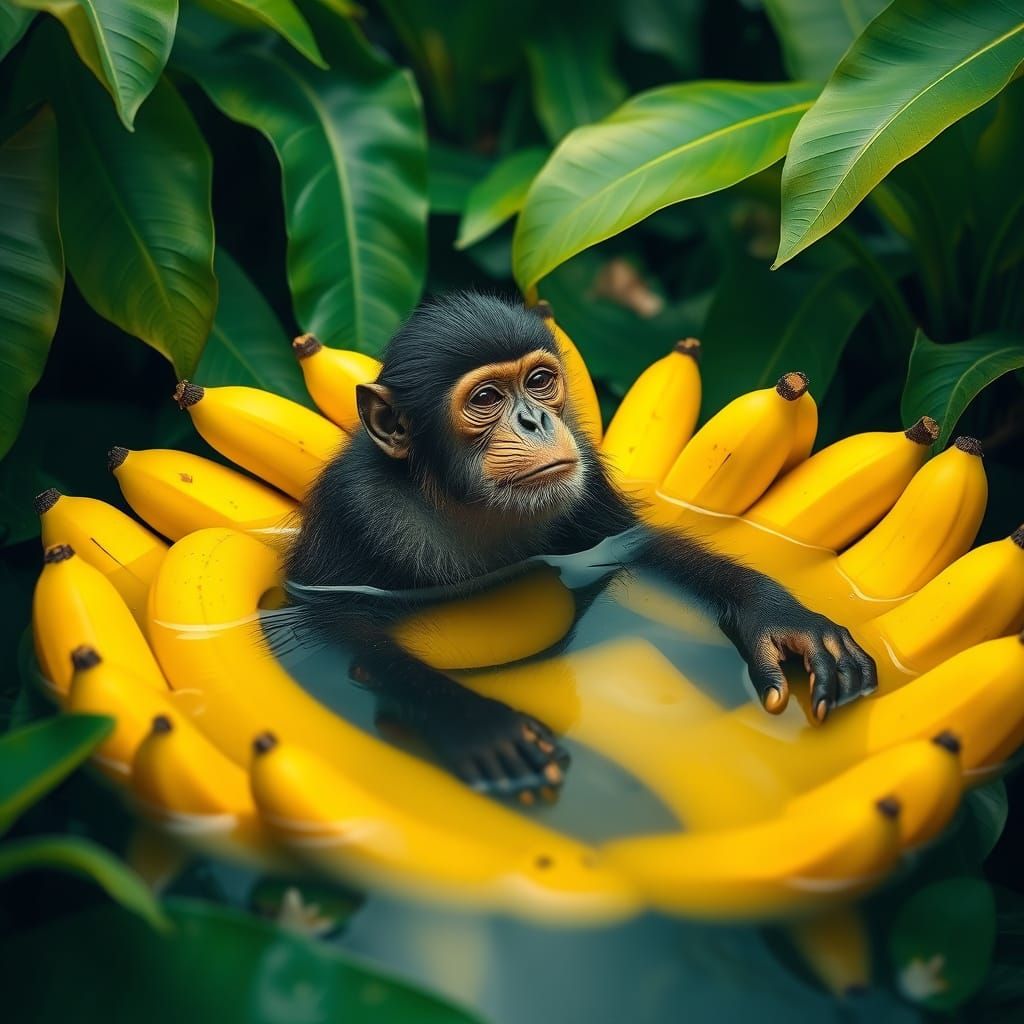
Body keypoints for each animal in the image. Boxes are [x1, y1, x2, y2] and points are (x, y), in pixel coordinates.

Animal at [282, 292, 877, 801]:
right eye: (486, 398)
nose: (534, 419)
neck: (456, 499)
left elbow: (638, 546)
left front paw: (780, 618)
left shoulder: (587, 484)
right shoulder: (352, 509)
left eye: (540, 381)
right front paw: (477, 725)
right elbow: (341, 625)